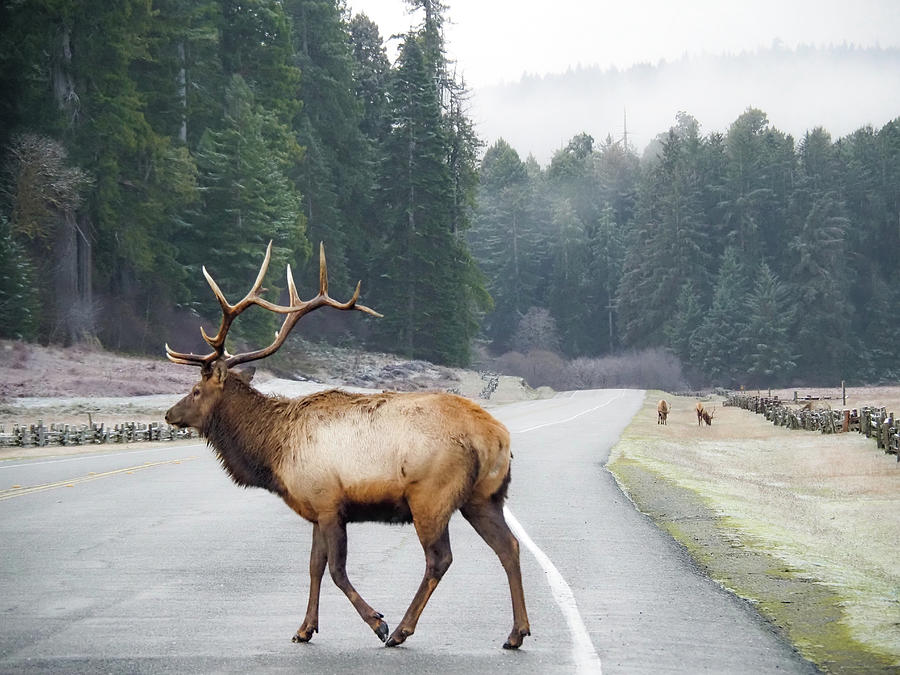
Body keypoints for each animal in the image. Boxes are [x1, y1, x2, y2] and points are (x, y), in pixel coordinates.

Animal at [163, 242, 530, 650]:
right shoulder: (315, 508)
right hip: (484, 497)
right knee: (509, 547)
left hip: (431, 496)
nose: (168, 414)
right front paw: (304, 628)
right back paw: (516, 632)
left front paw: (377, 622)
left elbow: (337, 571)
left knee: (440, 558)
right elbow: (314, 567)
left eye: (196, 390)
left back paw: (401, 630)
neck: (273, 450)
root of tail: (497, 436)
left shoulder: (329, 502)